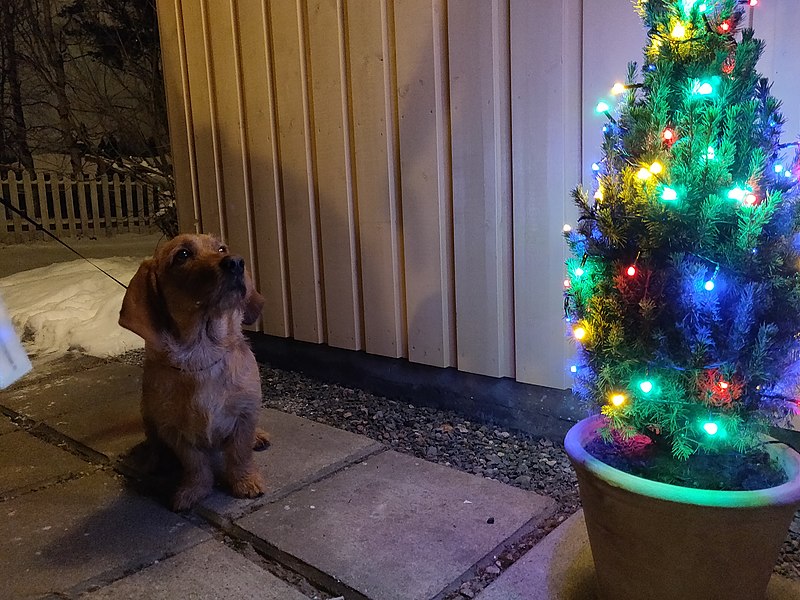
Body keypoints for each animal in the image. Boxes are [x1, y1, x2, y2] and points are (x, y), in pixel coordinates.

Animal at [119, 234, 268, 510]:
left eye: (221, 248)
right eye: (183, 255)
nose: (235, 262)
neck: (201, 353)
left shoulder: (244, 415)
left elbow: (240, 454)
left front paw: (245, 482)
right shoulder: (174, 431)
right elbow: (195, 465)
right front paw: (194, 491)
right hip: (147, 414)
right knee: (154, 443)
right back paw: (153, 460)